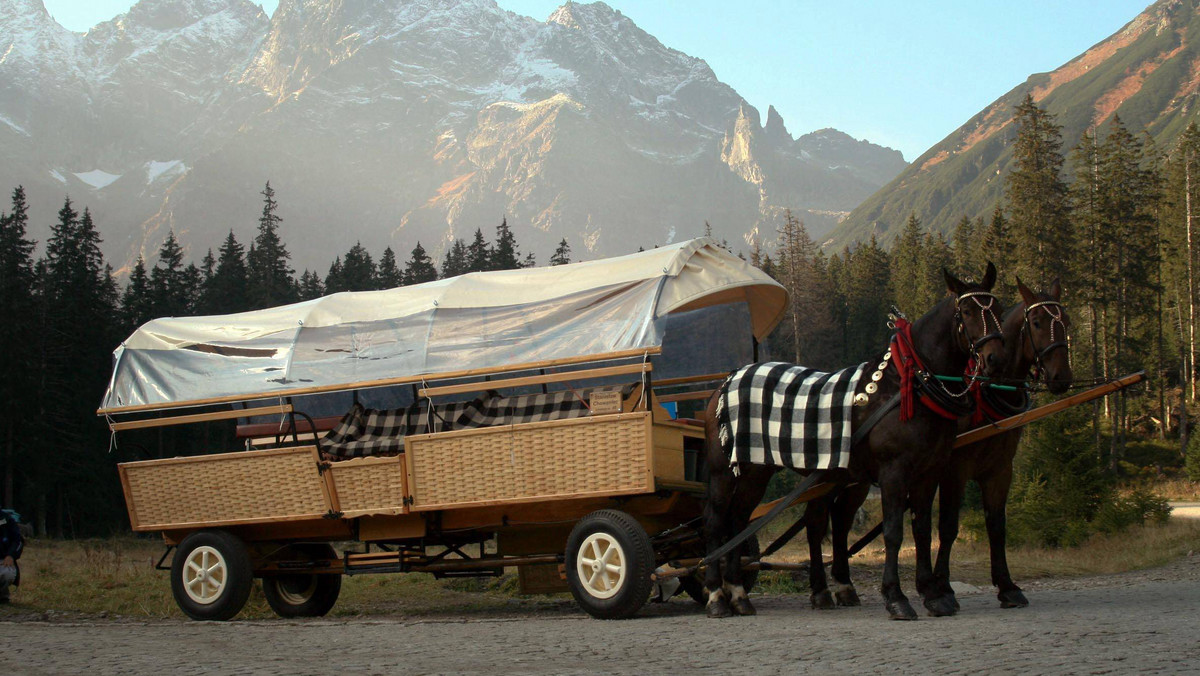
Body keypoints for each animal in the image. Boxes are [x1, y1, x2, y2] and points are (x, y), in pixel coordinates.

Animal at [700, 264, 1008, 619]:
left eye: (998, 309)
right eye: (967, 311)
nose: (995, 358)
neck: (906, 385)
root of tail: (726, 381)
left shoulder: (929, 472)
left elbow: (921, 529)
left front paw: (933, 594)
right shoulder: (893, 472)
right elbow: (893, 532)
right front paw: (896, 597)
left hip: (756, 471)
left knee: (739, 520)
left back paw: (738, 593)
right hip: (723, 471)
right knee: (716, 522)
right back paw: (716, 595)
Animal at [916, 277, 1080, 614]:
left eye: (1066, 321)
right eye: (1036, 321)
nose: (1061, 377)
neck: (987, 390)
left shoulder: (1001, 469)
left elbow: (997, 525)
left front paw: (1007, 586)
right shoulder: (955, 469)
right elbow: (948, 526)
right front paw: (943, 587)